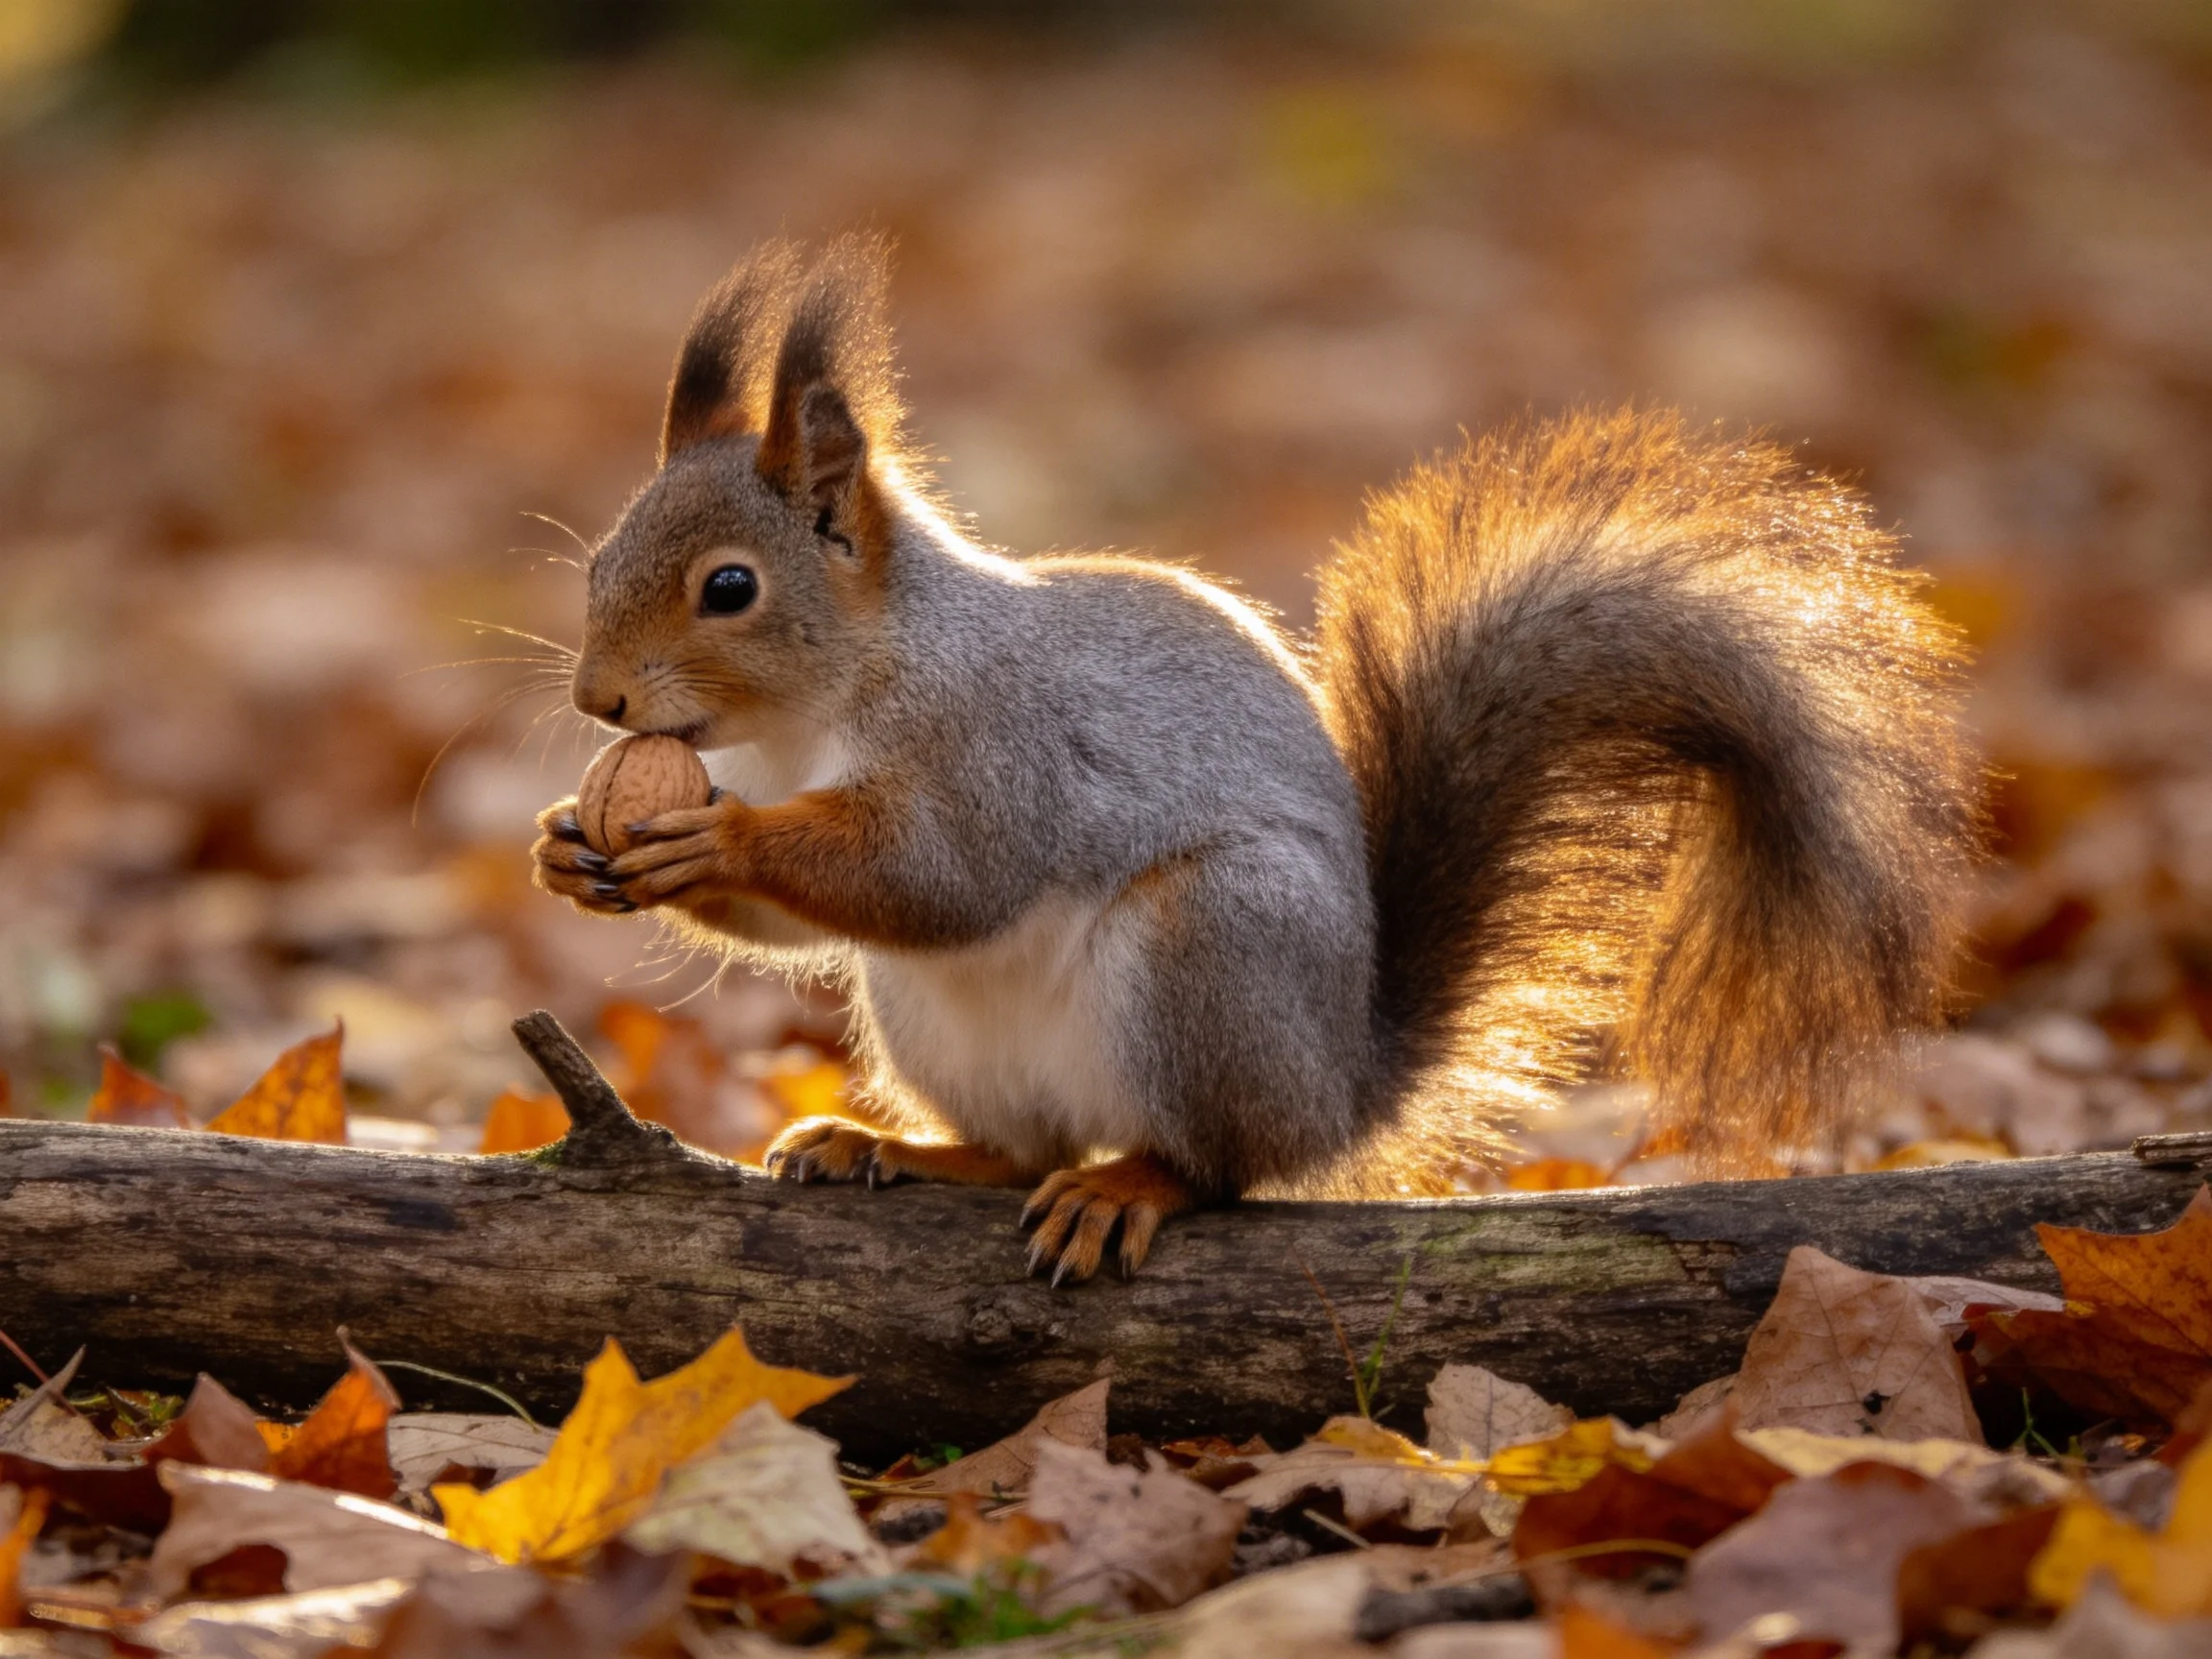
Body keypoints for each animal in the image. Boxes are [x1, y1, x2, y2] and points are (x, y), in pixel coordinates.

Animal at [532, 235, 1980, 1284]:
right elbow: (805, 926)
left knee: (1214, 1169)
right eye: (599, 561)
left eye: (730, 588)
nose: (600, 699)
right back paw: (900, 1149)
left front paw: (713, 838)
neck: (821, 710)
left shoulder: (1003, 746)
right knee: (1017, 1144)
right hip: (935, 1020)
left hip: (1211, 946)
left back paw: (1127, 1188)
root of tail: (1338, 1089)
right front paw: (571, 847)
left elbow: (940, 875)